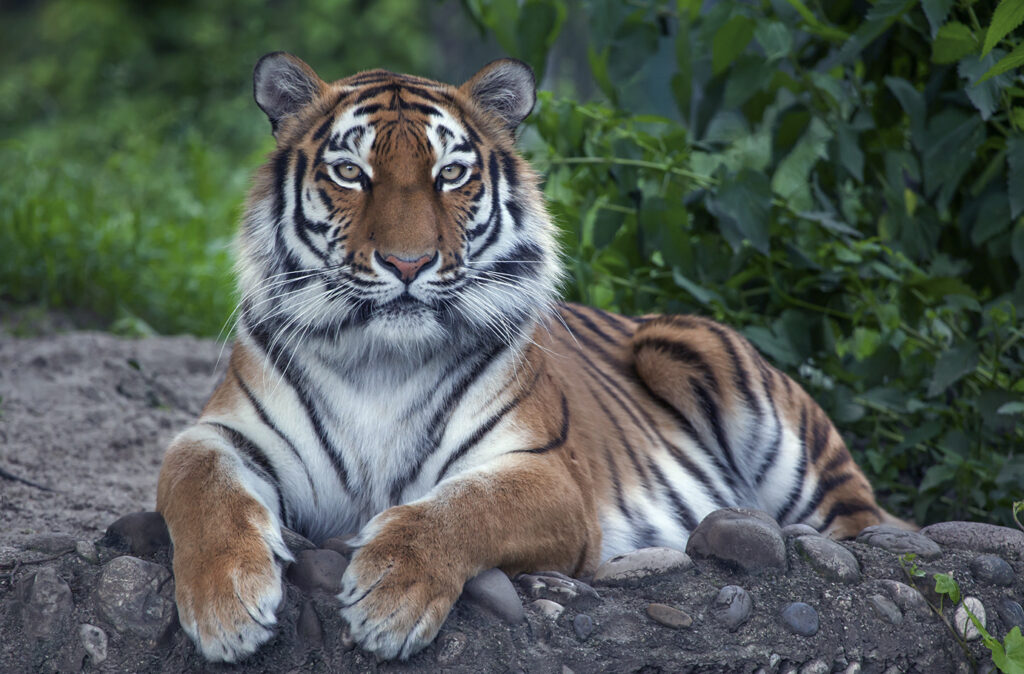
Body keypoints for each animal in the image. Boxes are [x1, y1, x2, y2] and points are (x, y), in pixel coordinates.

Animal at [155, 52, 909, 659]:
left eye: (450, 174)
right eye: (350, 172)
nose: (407, 263)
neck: (381, 363)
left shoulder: (547, 475)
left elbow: (461, 508)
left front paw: (390, 595)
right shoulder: (221, 434)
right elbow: (201, 488)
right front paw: (226, 606)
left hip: (714, 372)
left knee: (865, 523)